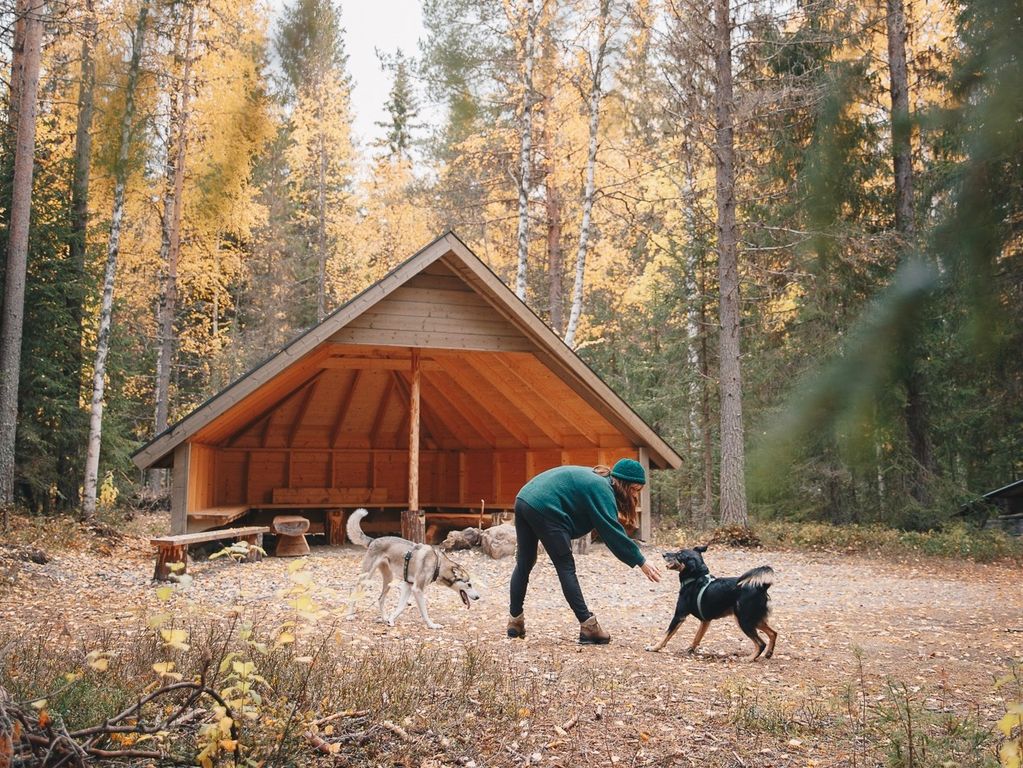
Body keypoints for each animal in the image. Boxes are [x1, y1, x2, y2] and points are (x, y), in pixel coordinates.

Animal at [642, 548, 777, 662]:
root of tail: (762, 587)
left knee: (760, 643)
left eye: (679, 555)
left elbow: (666, 635)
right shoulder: (705, 621)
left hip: (744, 620)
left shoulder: (679, 615)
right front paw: (691, 649)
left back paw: (750, 658)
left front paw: (654, 647)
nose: (663, 554)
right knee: (773, 633)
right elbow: (697, 637)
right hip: (753, 619)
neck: (695, 579)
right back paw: (769, 653)